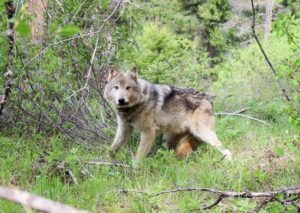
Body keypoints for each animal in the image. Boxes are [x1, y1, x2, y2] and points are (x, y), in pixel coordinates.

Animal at [103, 67, 232, 161]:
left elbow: (139, 156)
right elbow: (113, 148)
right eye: (116, 87)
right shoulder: (124, 129)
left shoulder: (149, 132)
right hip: (172, 140)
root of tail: (208, 100)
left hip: (203, 134)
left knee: (226, 150)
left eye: (128, 88)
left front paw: (135, 169)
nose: (121, 100)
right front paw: (104, 163)